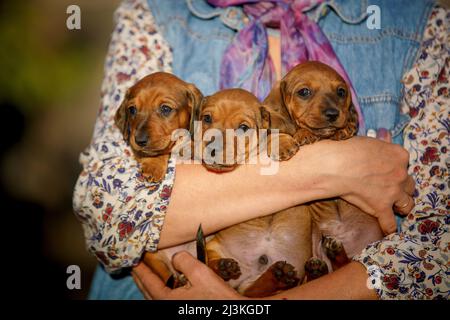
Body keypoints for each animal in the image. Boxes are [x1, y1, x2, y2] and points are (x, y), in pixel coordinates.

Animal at [264, 61, 384, 276]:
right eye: (304, 92)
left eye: (341, 92)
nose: (333, 114)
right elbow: (276, 132)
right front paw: (285, 143)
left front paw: (344, 128)